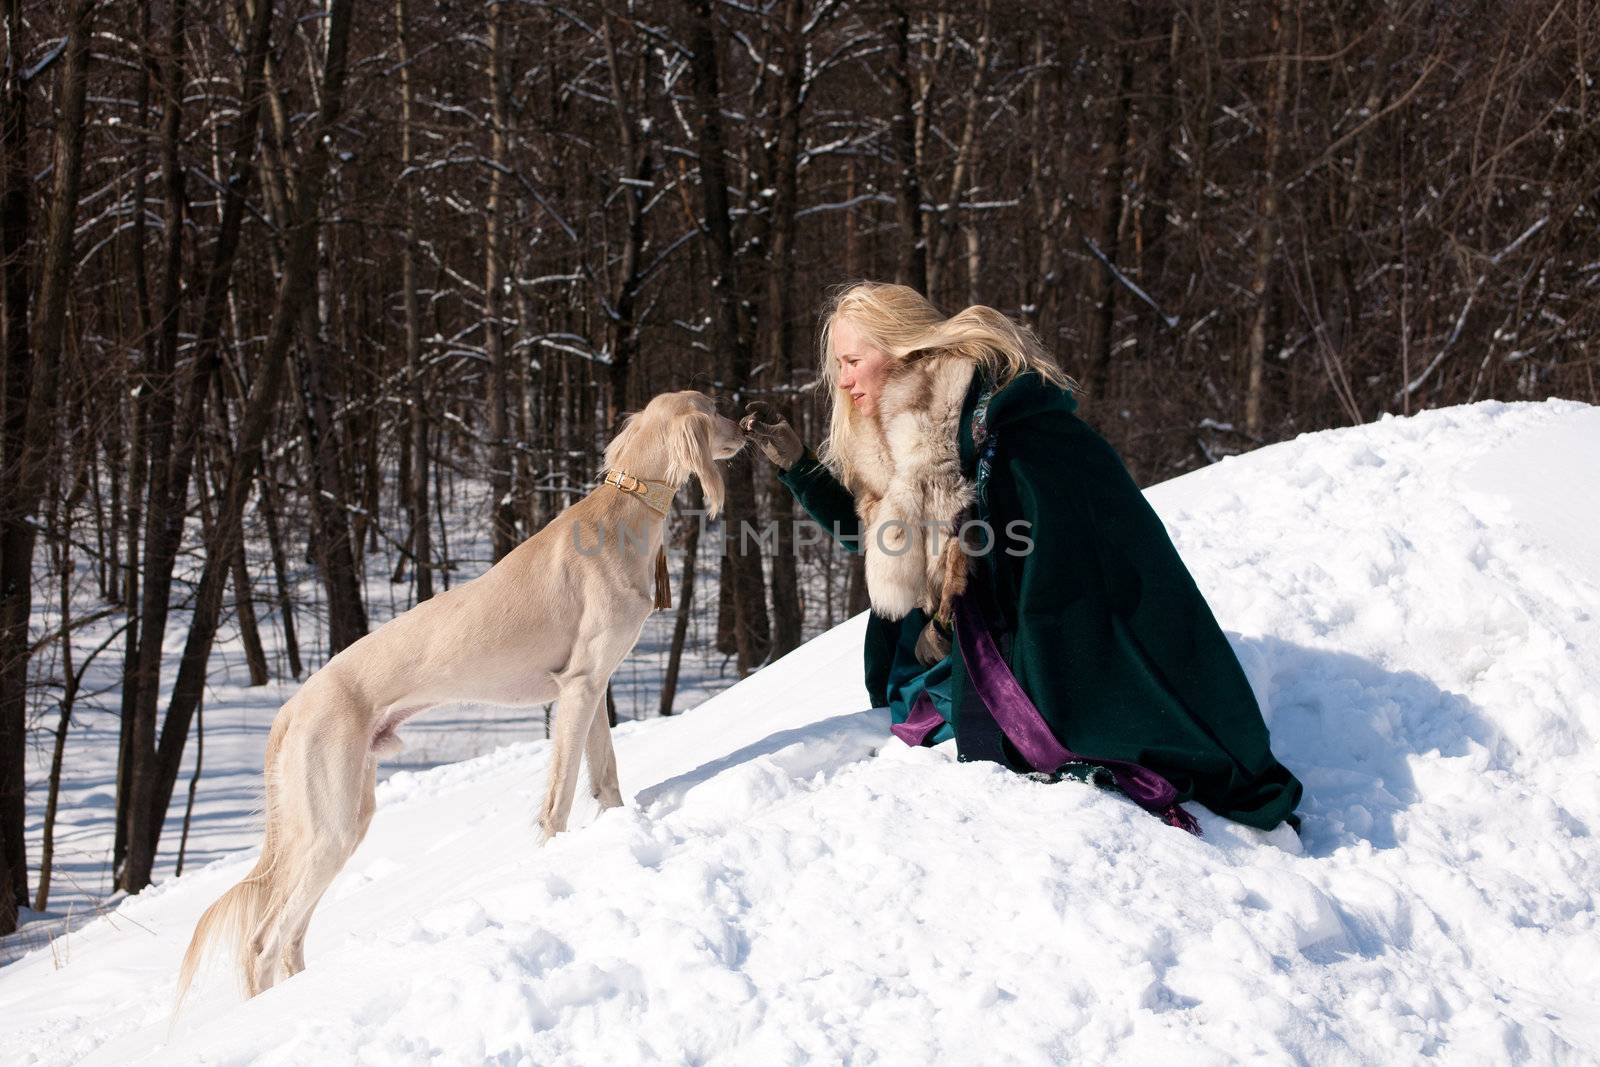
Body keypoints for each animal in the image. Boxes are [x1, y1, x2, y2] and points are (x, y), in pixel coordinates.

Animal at [180, 390, 742, 1004]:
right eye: (714, 409)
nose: (747, 425)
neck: (621, 511)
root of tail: (291, 707)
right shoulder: (577, 688)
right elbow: (558, 801)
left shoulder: (594, 687)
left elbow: (606, 781)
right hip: (329, 826)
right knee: (263, 941)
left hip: (347, 816)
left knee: (291, 939)